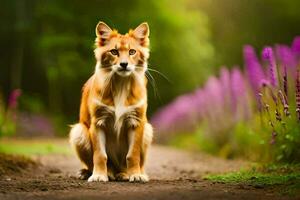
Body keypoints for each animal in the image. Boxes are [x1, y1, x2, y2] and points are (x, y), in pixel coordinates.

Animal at [69, 21, 152, 183]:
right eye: (114, 52)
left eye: (132, 51)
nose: (124, 64)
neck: (121, 85)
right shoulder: (98, 122)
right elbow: (100, 155)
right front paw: (99, 175)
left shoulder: (136, 122)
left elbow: (132, 155)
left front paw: (135, 174)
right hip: (78, 131)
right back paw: (91, 172)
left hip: (148, 130)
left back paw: (126, 174)